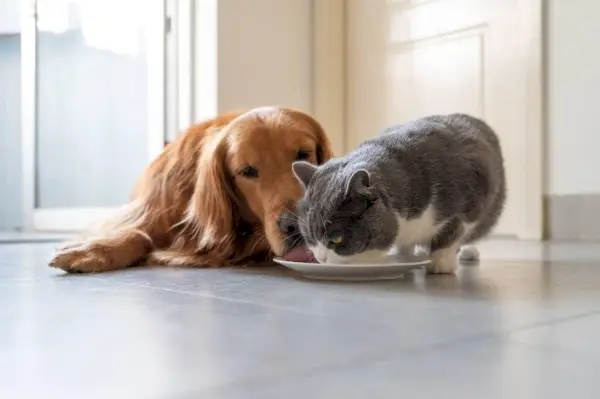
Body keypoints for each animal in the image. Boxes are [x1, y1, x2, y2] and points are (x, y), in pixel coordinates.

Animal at [290, 114, 506, 274]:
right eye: (309, 236)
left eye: (337, 239)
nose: (321, 257)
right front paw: (404, 255)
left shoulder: (471, 197)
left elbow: (453, 231)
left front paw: (440, 262)